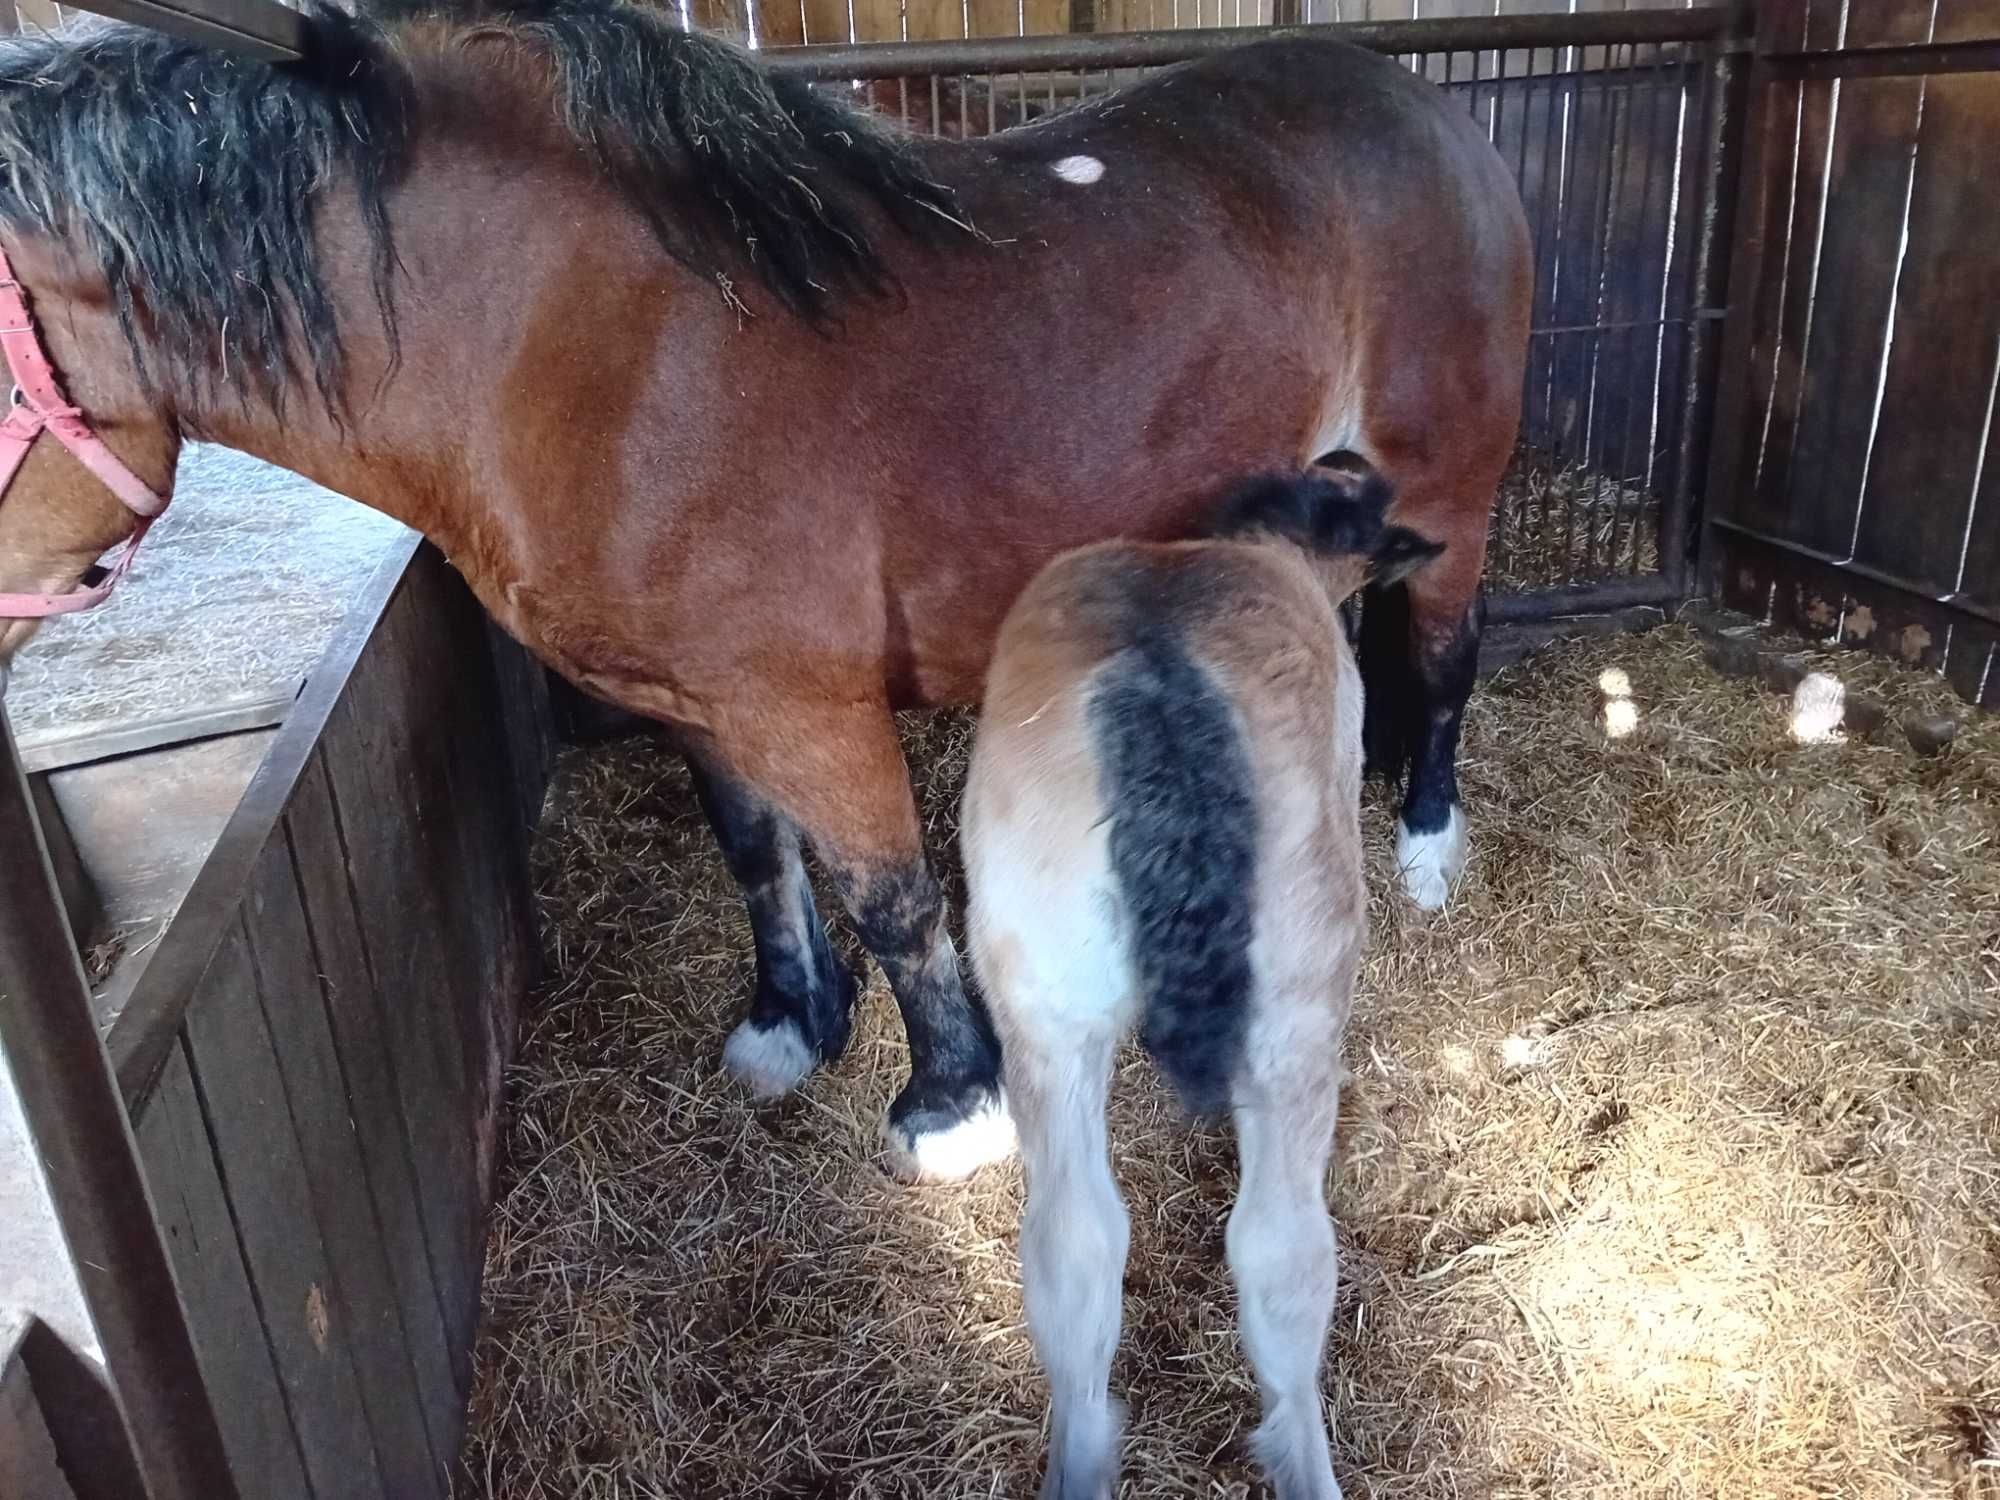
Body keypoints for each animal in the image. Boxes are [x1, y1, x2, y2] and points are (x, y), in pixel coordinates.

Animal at [0, 0, 1528, 1184]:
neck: (567, 341)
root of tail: (1423, 106)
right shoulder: (698, 699)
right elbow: (755, 853)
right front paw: (789, 1026)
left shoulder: (809, 705)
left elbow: (895, 896)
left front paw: (952, 1111)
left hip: (1448, 501)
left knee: (1445, 662)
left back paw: (1425, 847)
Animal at [964, 472, 1440, 1500]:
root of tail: (1155, 674)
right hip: (1293, 1008)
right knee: (1278, 1249)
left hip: (1044, 1009)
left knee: (1075, 1244)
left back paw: (1083, 1456)